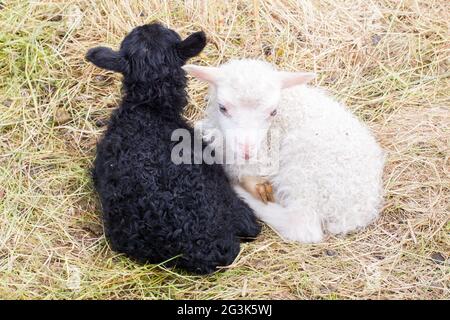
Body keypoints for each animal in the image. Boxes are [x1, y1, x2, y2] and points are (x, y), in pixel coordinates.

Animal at [183, 59, 384, 242]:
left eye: (273, 112)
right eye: (222, 107)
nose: (247, 152)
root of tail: (354, 213)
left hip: (305, 171)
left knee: (302, 224)